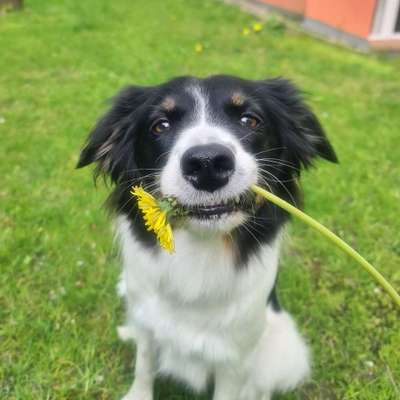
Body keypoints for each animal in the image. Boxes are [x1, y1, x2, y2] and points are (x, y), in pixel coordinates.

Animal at [76, 76, 338, 400]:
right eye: (160, 125)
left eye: (250, 120)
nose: (207, 163)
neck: (198, 251)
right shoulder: (148, 323)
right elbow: (144, 366)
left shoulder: (236, 358)